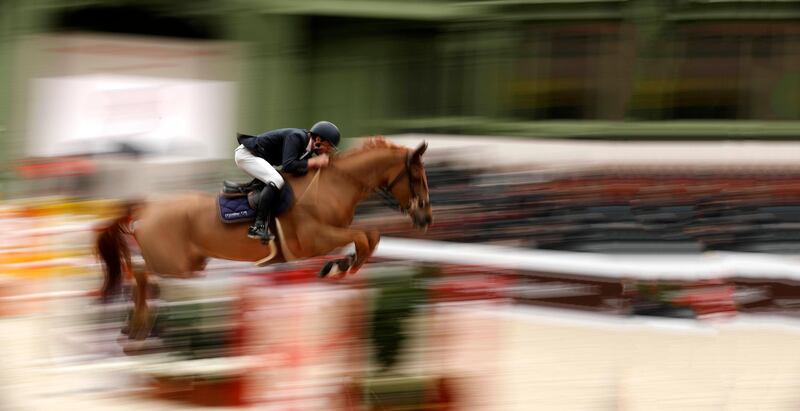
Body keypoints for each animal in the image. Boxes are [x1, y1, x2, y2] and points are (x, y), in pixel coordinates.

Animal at [97, 137, 434, 340]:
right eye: (417, 178)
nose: (426, 219)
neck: (335, 185)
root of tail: (146, 208)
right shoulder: (313, 239)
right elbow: (364, 237)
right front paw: (339, 267)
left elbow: (370, 237)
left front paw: (341, 264)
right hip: (173, 263)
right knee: (141, 273)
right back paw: (138, 323)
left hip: (189, 263)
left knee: (141, 275)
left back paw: (133, 325)